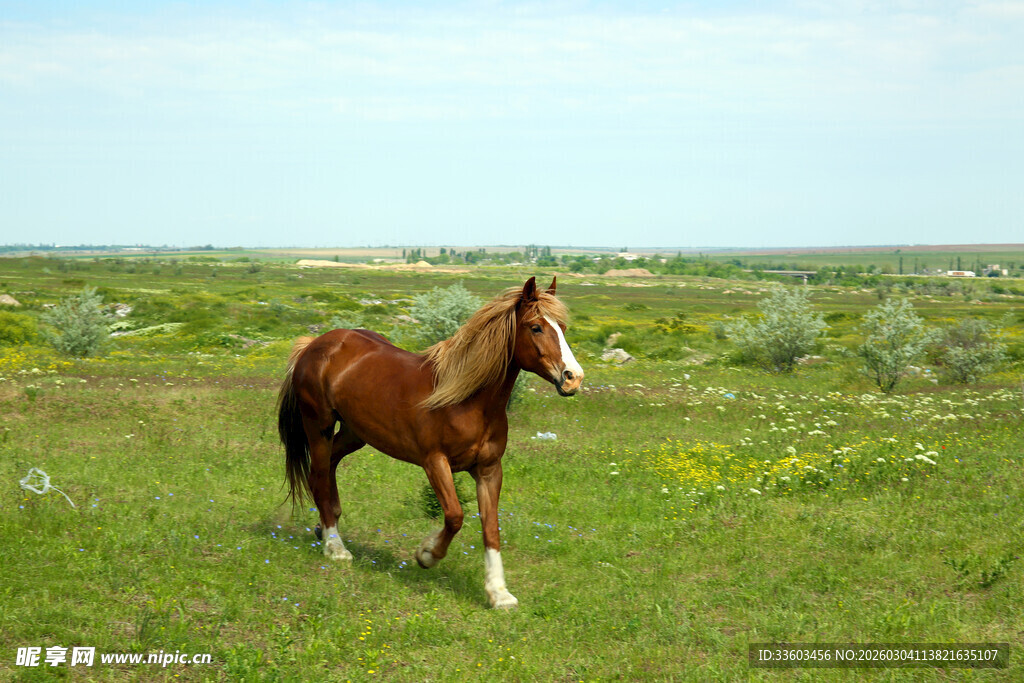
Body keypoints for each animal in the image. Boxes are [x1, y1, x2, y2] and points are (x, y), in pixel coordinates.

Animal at [277, 276, 584, 609]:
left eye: (562, 327)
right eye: (536, 327)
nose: (573, 378)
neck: (467, 400)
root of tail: (315, 344)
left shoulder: (489, 470)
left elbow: (491, 528)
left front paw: (499, 593)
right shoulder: (435, 462)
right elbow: (455, 516)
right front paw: (426, 555)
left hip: (355, 433)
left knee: (326, 467)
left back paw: (325, 526)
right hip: (318, 425)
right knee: (319, 476)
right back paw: (336, 548)